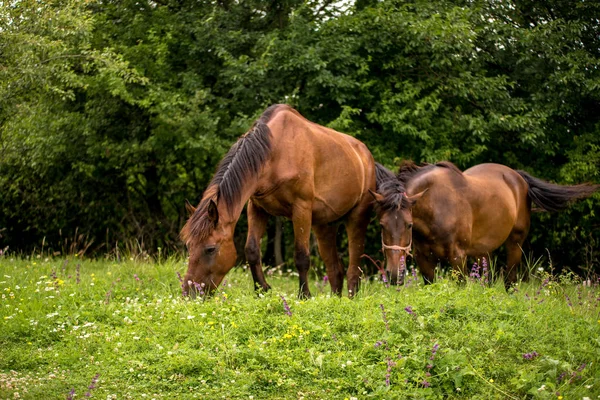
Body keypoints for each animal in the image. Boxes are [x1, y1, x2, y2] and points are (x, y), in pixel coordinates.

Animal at [178, 104, 376, 298]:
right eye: (189, 245)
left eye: (210, 249)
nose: (190, 293)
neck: (275, 152)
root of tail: (366, 154)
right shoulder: (256, 208)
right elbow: (251, 250)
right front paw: (261, 289)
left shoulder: (302, 208)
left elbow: (301, 256)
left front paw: (304, 295)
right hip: (324, 225)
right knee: (335, 270)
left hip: (357, 218)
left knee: (354, 264)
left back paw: (351, 296)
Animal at [372, 161, 596, 290]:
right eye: (382, 225)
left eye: (409, 225)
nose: (393, 274)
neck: (437, 205)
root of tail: (518, 177)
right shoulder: (424, 259)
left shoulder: (458, 258)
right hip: (483, 252)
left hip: (515, 243)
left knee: (510, 281)